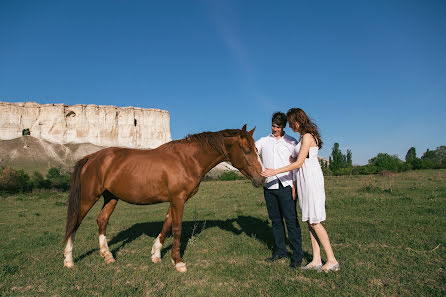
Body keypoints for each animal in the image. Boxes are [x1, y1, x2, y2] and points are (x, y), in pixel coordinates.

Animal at [63, 123, 264, 272]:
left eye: (256, 149)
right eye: (247, 150)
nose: (261, 179)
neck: (187, 159)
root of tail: (91, 157)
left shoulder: (175, 200)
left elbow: (167, 225)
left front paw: (156, 254)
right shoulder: (178, 199)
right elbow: (176, 228)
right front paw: (179, 261)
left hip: (111, 197)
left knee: (102, 220)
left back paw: (107, 256)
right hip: (88, 198)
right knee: (74, 223)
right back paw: (68, 259)